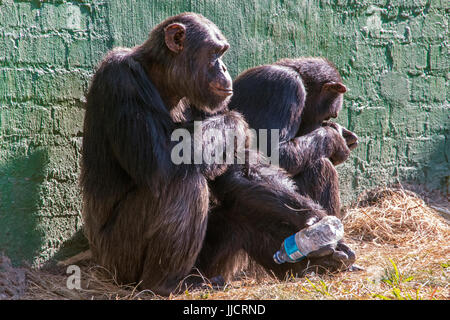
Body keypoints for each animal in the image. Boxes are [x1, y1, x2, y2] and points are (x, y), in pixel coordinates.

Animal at [229, 57, 358, 218]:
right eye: (329, 115)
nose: (322, 123)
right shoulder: (286, 88)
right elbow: (274, 151)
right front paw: (337, 139)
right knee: (321, 165)